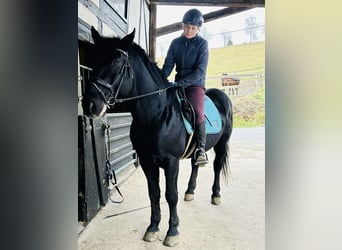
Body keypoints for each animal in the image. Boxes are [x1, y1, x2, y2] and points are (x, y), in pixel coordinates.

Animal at [81, 27, 234, 246]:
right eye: (93, 60)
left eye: (116, 62)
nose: (90, 105)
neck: (157, 114)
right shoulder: (147, 161)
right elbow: (154, 194)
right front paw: (153, 228)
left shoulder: (171, 162)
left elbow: (171, 195)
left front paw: (172, 232)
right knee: (196, 165)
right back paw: (190, 192)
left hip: (222, 144)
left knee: (217, 166)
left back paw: (216, 195)